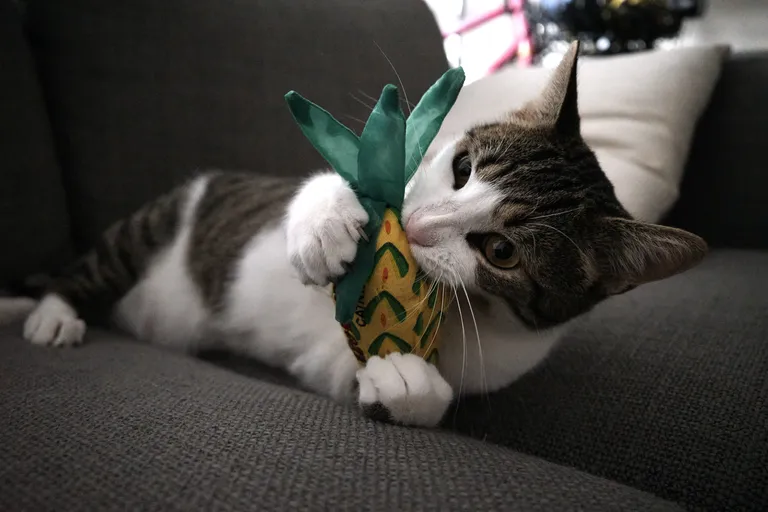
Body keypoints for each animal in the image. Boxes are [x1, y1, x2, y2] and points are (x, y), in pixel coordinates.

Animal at [1, 43, 708, 428]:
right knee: (83, 272)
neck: (466, 314)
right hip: (152, 227)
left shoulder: (493, 360)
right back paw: (52, 315)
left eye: (502, 252)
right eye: (461, 167)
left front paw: (407, 386)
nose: (418, 228)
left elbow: (370, 376)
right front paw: (326, 224)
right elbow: (339, 183)